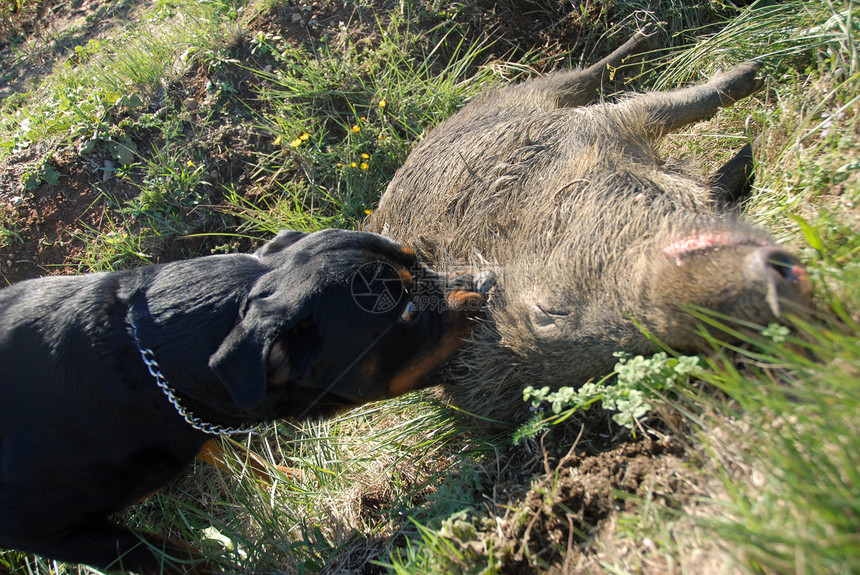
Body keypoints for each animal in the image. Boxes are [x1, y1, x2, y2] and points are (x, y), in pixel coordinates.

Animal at [0, 231, 490, 575]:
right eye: (408, 313)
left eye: (419, 260)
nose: (486, 282)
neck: (143, 363)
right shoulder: (52, 533)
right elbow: (176, 557)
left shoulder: (197, 415)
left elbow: (232, 452)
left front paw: (292, 479)